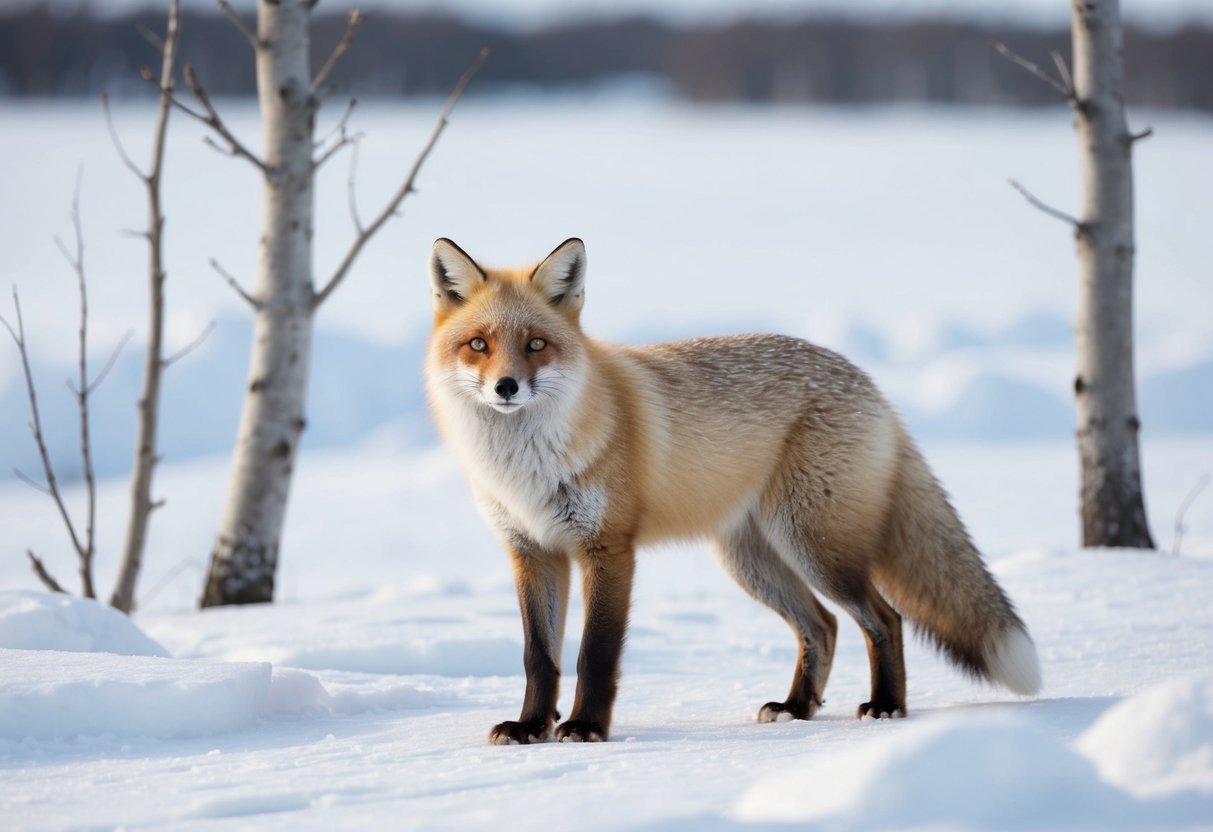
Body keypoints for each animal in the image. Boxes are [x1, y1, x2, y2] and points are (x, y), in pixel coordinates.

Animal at [423, 237, 1042, 745]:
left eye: (535, 345)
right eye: (478, 344)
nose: (506, 387)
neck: (525, 466)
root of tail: (866, 381)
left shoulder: (608, 547)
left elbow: (594, 655)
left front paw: (585, 728)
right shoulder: (532, 551)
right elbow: (538, 657)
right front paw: (530, 727)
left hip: (815, 548)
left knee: (883, 619)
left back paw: (887, 705)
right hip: (752, 560)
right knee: (823, 625)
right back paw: (796, 708)